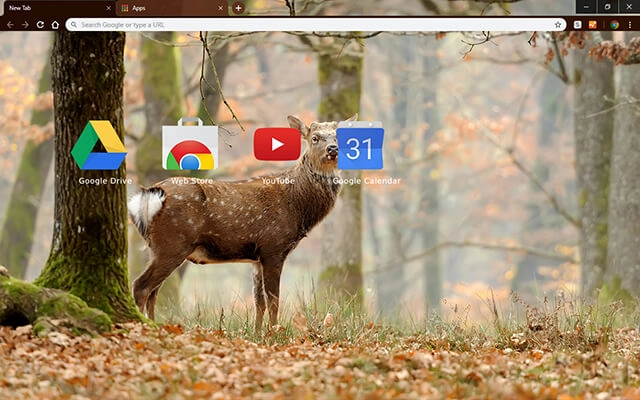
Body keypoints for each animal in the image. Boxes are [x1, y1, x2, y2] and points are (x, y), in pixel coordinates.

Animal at [128, 114, 356, 330]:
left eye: (338, 136)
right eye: (315, 138)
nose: (333, 149)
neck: (298, 209)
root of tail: (150, 194)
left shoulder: (256, 258)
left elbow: (259, 302)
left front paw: (257, 334)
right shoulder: (273, 247)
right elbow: (274, 301)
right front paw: (275, 333)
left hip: (158, 247)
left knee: (153, 291)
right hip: (173, 243)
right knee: (141, 286)